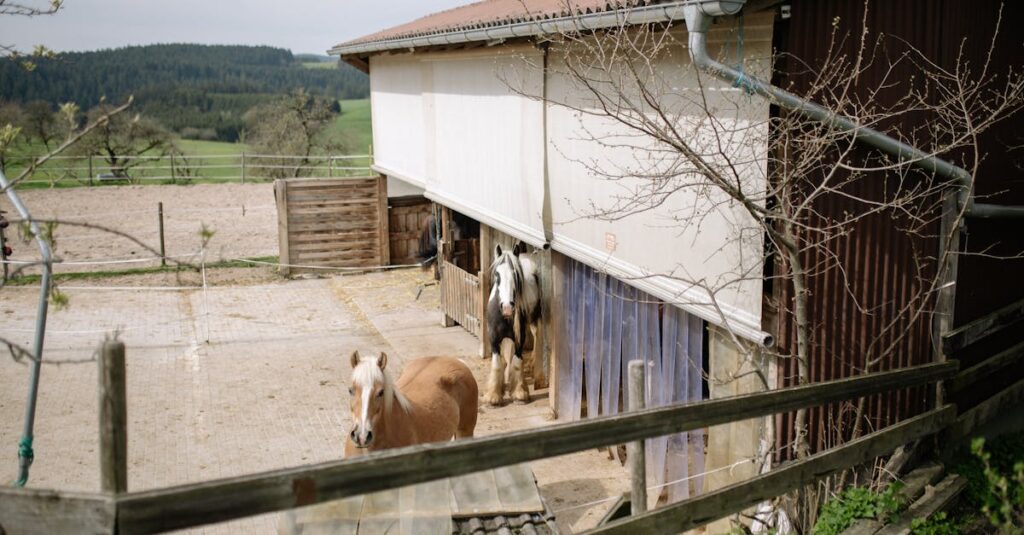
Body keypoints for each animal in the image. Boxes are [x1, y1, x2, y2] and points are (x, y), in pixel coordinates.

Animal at [485, 243, 543, 406]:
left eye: (516, 275)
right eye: (497, 275)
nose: (507, 308)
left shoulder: (519, 339)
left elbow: (516, 362)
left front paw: (519, 393)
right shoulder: (493, 339)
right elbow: (497, 363)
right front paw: (493, 396)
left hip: (534, 318)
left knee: (536, 335)